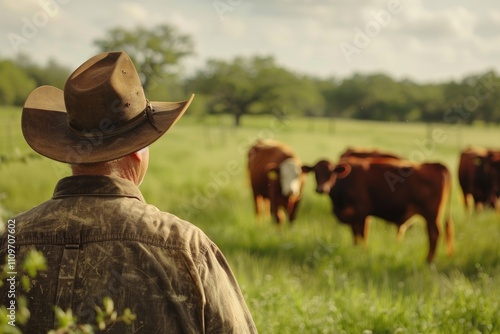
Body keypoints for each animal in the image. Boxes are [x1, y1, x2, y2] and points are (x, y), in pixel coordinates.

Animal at [302, 157, 456, 264]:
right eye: (316, 173)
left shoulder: (362, 214)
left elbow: (362, 234)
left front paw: (362, 252)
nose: (321, 189)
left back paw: (428, 261)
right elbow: (355, 236)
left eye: (330, 173)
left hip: (431, 216)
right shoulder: (354, 217)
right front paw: (356, 250)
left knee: (434, 234)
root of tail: (435, 165)